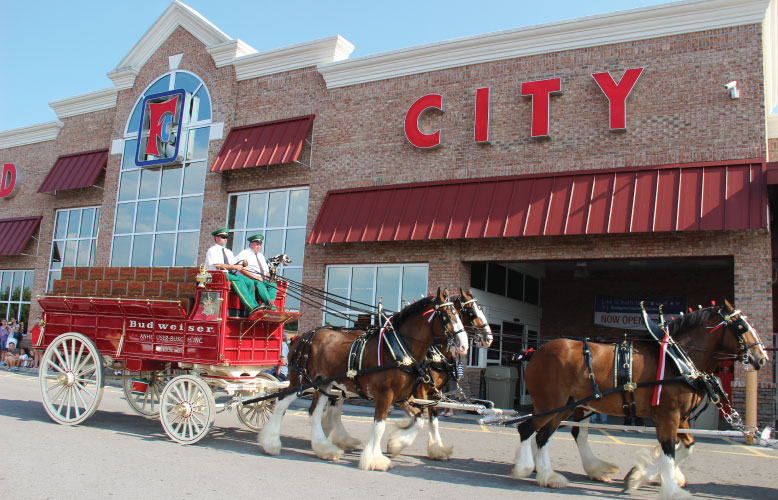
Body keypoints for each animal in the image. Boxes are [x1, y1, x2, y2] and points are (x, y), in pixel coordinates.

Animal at [260, 288, 466, 470]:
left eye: (459, 313)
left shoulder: (405, 396)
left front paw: (397, 444)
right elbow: (380, 425)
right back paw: (271, 443)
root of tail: (302, 337)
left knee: (314, 412)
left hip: (323, 383)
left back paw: (325, 448)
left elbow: (421, 419)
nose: (464, 345)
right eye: (447, 316)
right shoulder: (387, 395)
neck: (399, 348)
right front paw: (375, 460)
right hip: (300, 380)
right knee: (281, 402)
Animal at [510, 298, 764, 498]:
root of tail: (535, 352)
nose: (761, 358)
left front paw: (640, 476)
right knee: (530, 430)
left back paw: (560, 473)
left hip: (568, 406)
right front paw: (671, 489)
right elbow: (669, 450)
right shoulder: (669, 415)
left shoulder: (680, 417)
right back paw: (532, 469)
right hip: (553, 404)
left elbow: (686, 446)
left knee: (549, 434)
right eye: (741, 326)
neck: (676, 358)